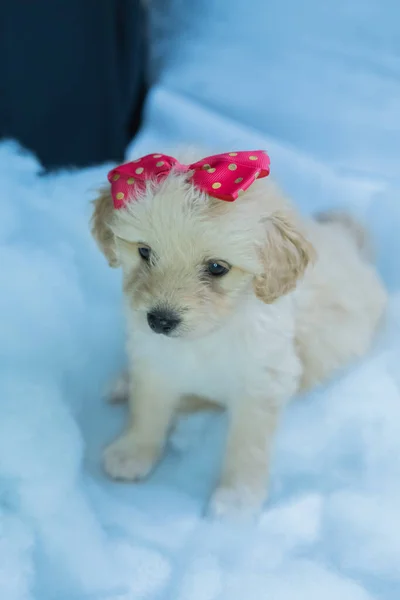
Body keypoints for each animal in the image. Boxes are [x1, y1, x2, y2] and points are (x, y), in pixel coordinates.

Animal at [91, 150, 388, 520]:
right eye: (144, 252)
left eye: (217, 268)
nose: (160, 321)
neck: (210, 334)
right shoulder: (153, 358)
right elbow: (147, 408)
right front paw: (134, 450)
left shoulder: (264, 381)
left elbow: (247, 444)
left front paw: (237, 498)